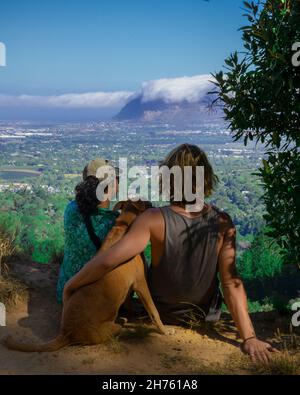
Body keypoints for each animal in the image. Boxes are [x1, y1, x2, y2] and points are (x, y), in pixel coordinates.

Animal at [1, 201, 166, 352]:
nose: (153, 204)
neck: (124, 225)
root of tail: (66, 333)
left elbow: (129, 304)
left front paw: (132, 313)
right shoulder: (140, 282)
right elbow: (154, 310)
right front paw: (162, 329)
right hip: (110, 329)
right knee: (119, 330)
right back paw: (127, 325)